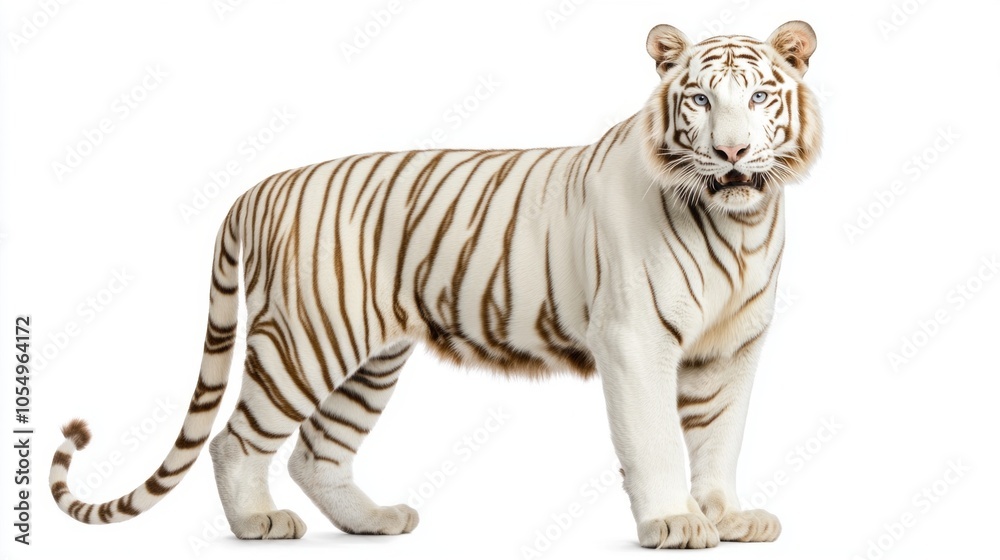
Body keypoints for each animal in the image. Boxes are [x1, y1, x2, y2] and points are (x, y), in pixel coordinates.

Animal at [50, 21, 821, 549]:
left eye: (759, 96)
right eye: (699, 100)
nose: (732, 151)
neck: (739, 224)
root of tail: (259, 187)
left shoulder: (732, 348)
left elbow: (719, 438)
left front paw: (726, 518)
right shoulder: (634, 340)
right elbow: (658, 439)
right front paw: (674, 524)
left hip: (369, 356)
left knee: (316, 453)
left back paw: (374, 520)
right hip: (305, 340)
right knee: (236, 439)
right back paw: (257, 522)